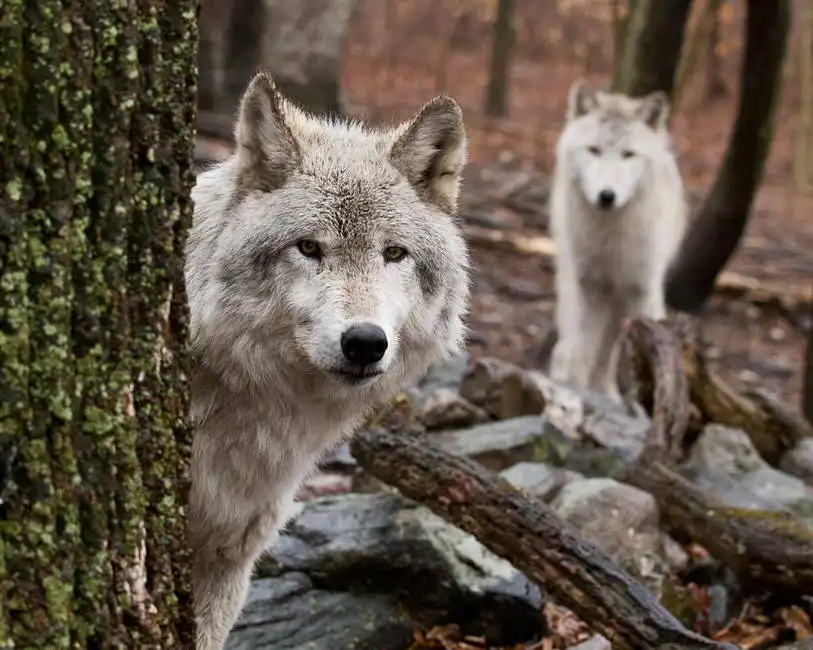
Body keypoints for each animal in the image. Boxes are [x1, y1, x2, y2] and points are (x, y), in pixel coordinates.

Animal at [548, 81, 687, 399]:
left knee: (607, 352)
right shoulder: (590, 288)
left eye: (628, 154)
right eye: (594, 150)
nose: (607, 196)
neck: (611, 239)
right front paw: (576, 390)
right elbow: (582, 352)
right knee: (568, 343)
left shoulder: (642, 292)